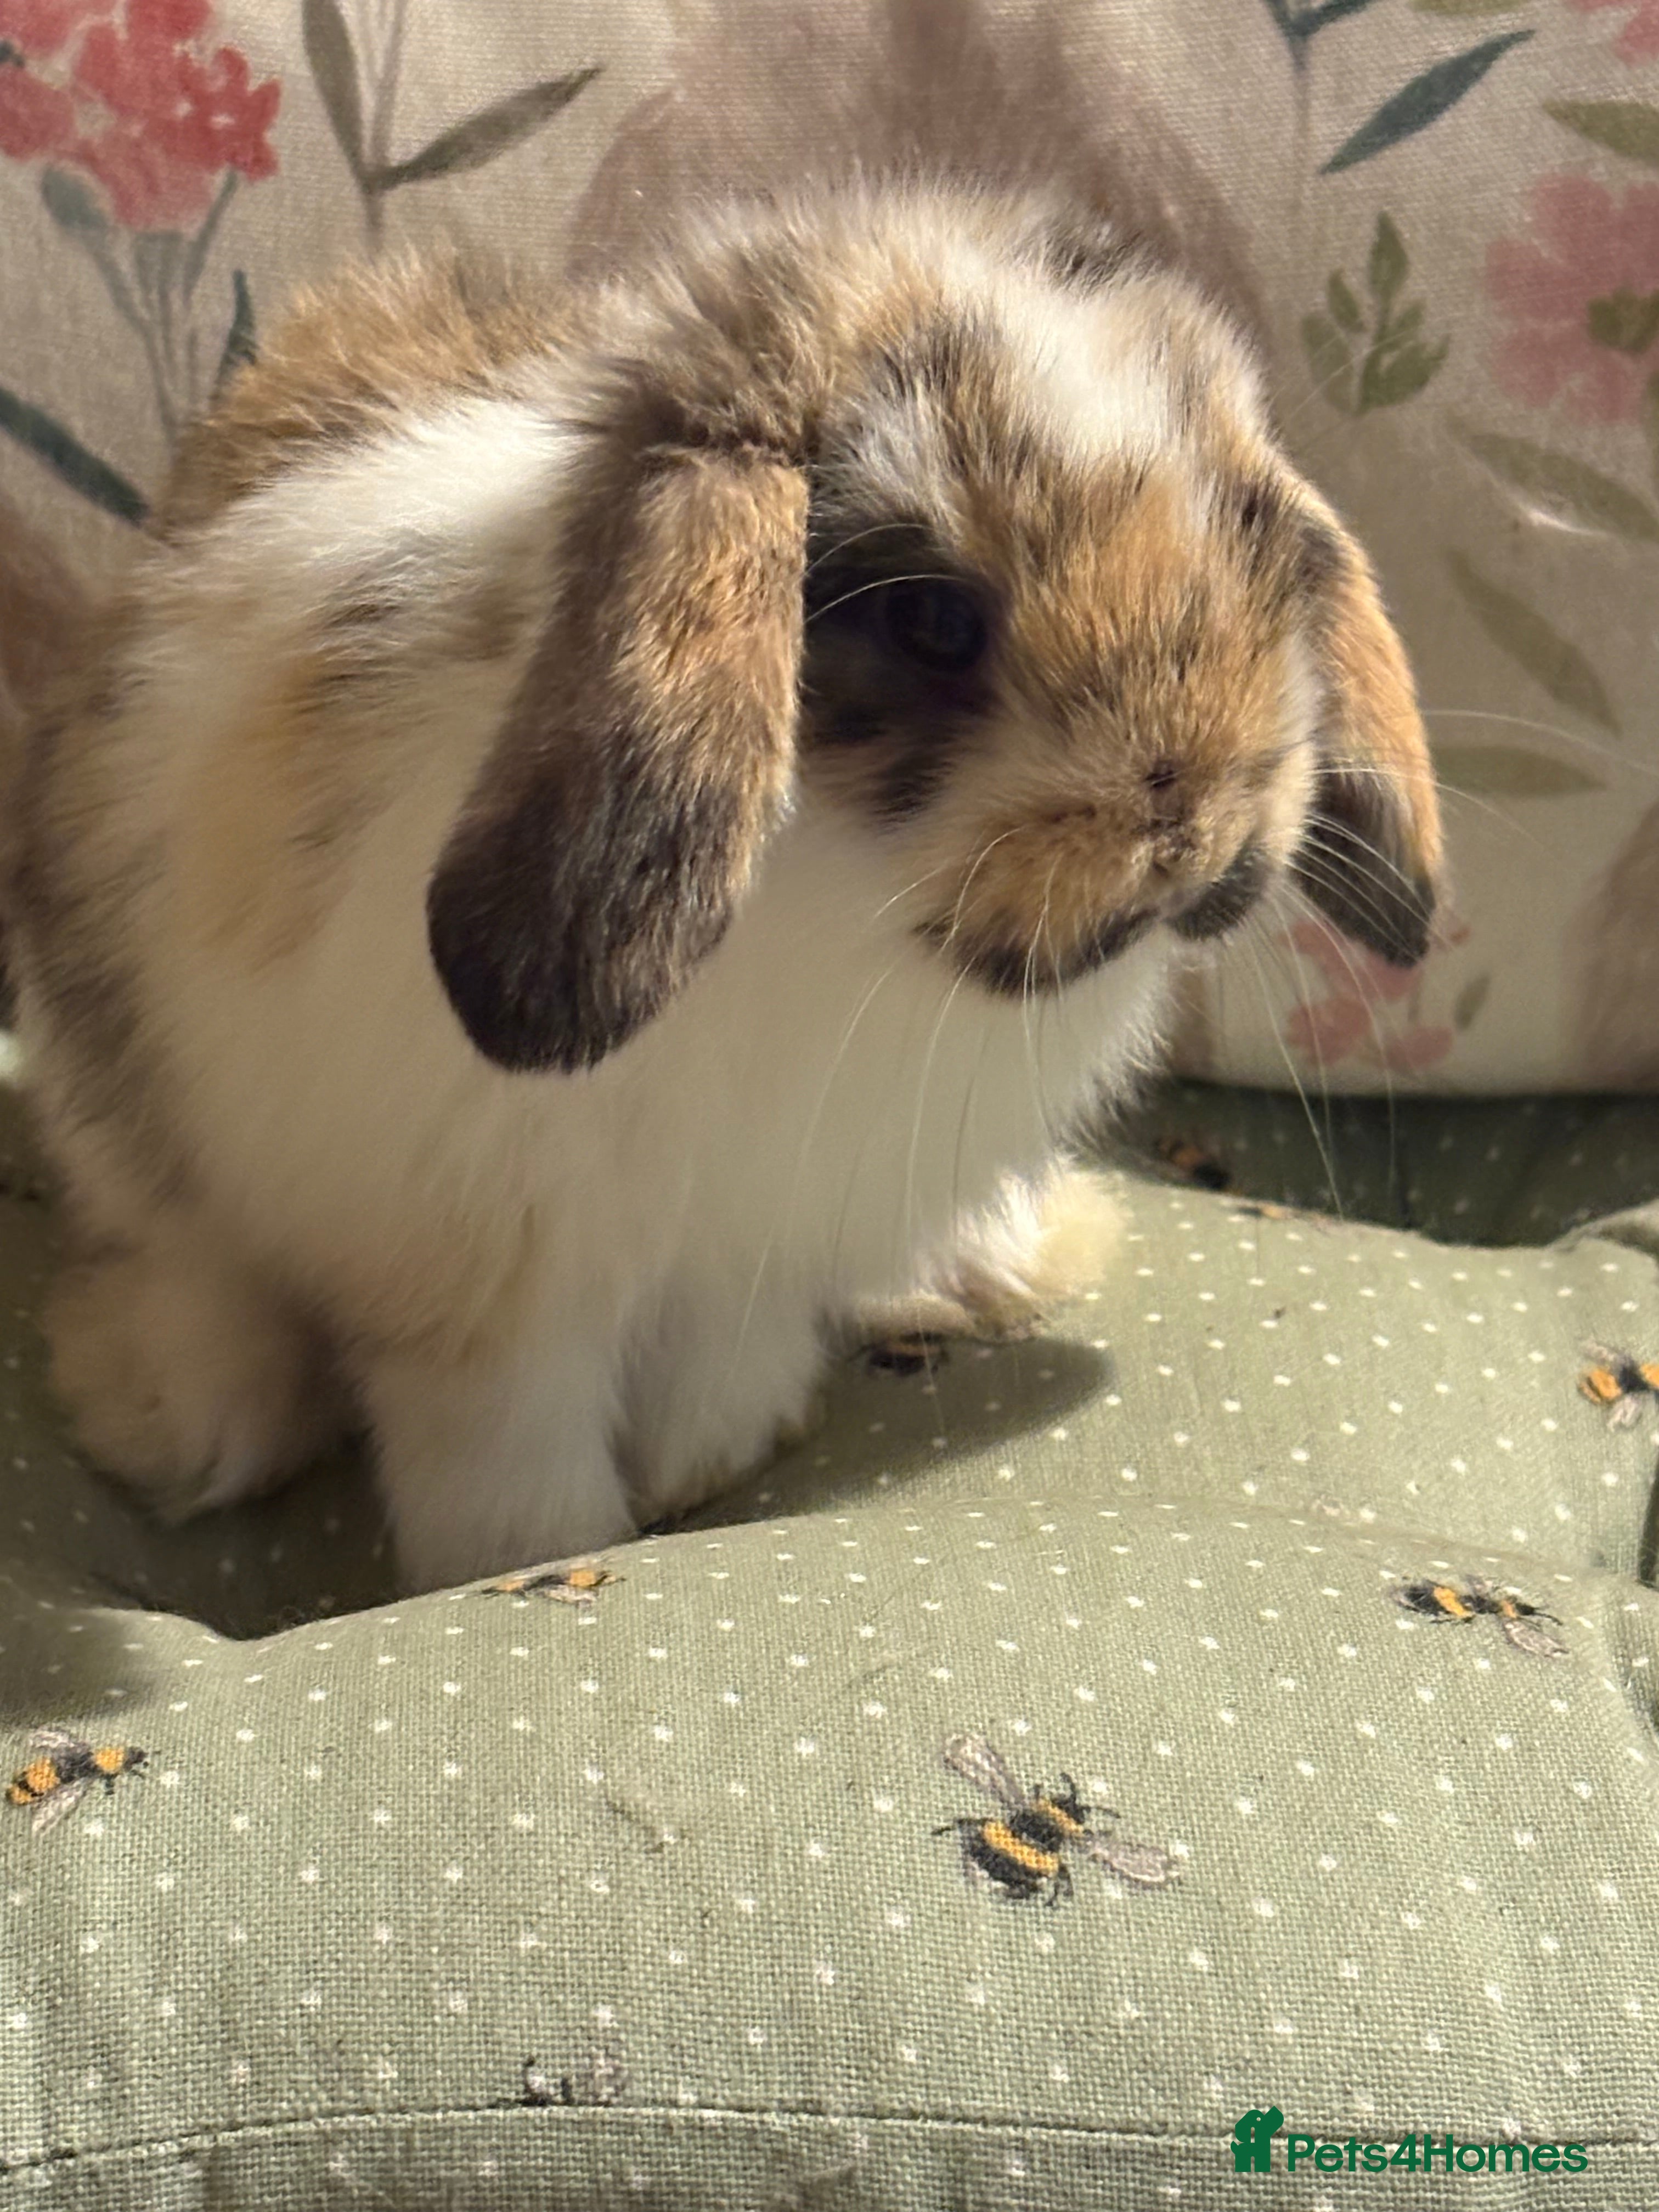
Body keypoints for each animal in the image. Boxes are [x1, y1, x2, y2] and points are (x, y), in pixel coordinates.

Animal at [7, 181, 1442, 1592]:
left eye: (1259, 545)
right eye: (933, 619)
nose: (1200, 829)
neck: (837, 909)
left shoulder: (752, 1247)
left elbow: (723, 1369)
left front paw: (707, 1469)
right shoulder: (486, 1292)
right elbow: (503, 1452)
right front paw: (538, 1557)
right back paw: (173, 1419)